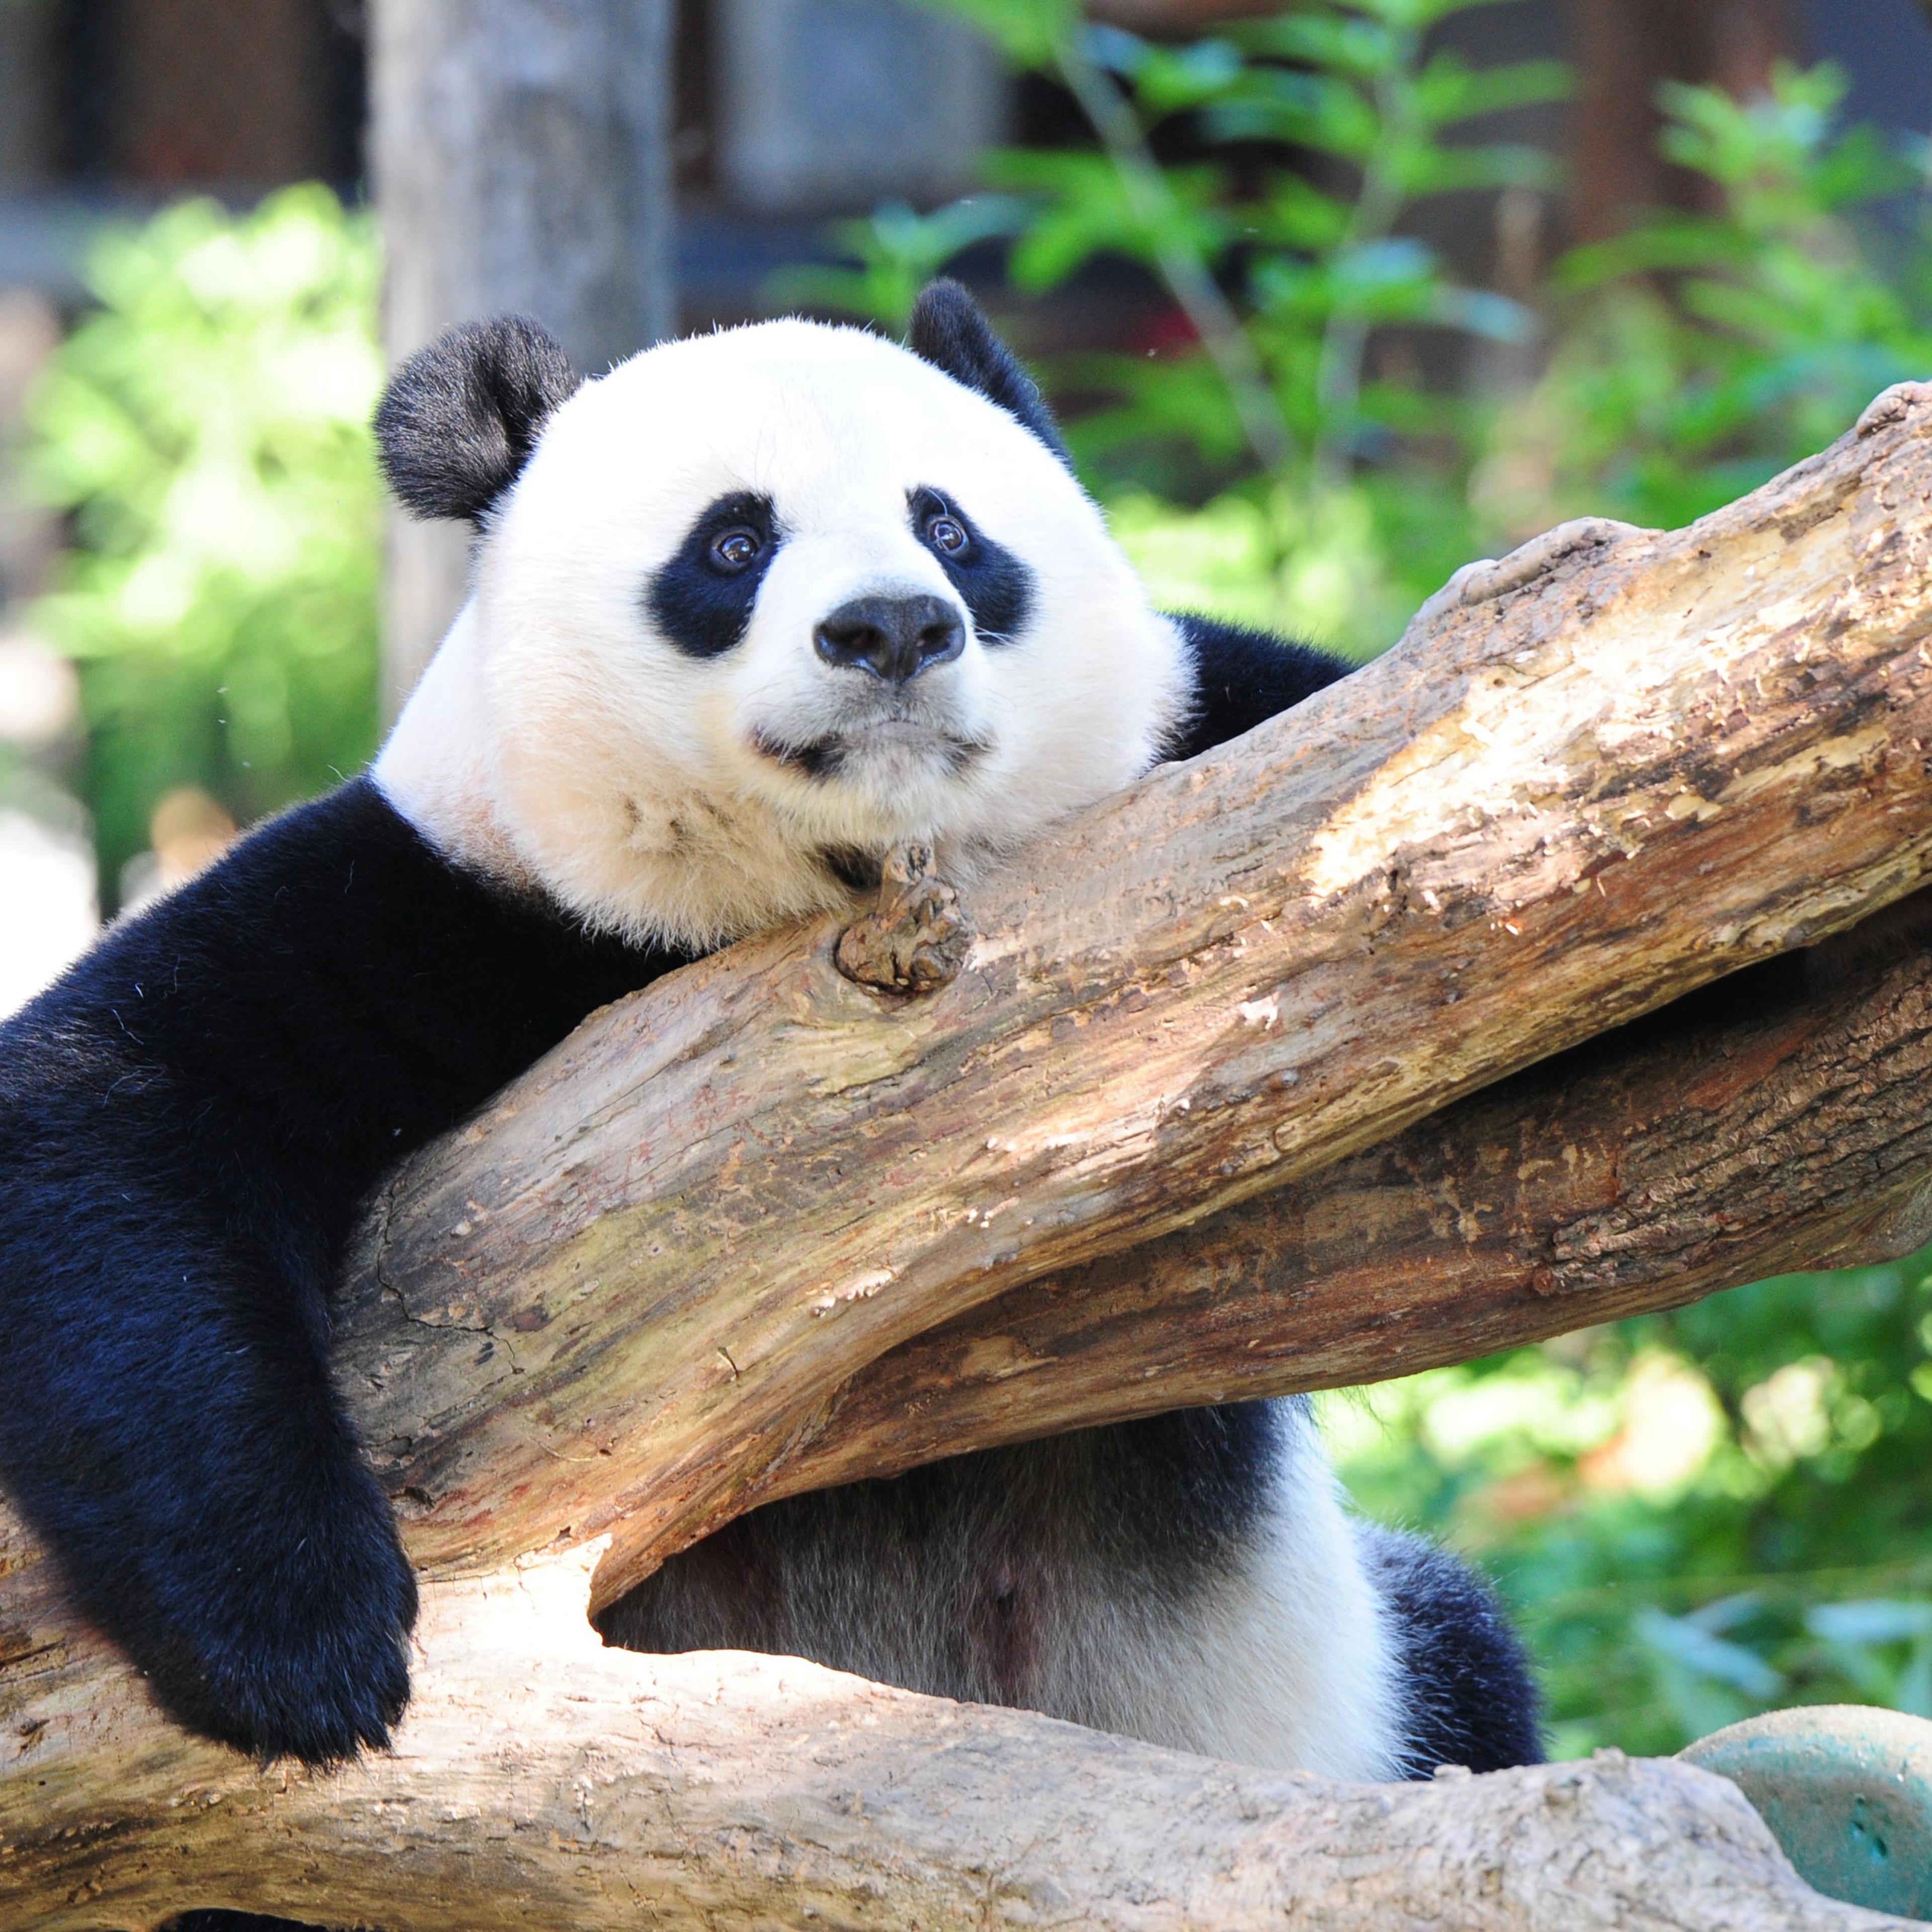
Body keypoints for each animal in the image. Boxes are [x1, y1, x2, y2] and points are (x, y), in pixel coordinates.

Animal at [0, 282, 1539, 1932]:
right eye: (732, 543)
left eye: (950, 528)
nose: (892, 628)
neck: (834, 881)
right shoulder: (447, 902)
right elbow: (115, 1106)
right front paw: (302, 1639)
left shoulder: (1221, 740)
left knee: (1467, 1659)